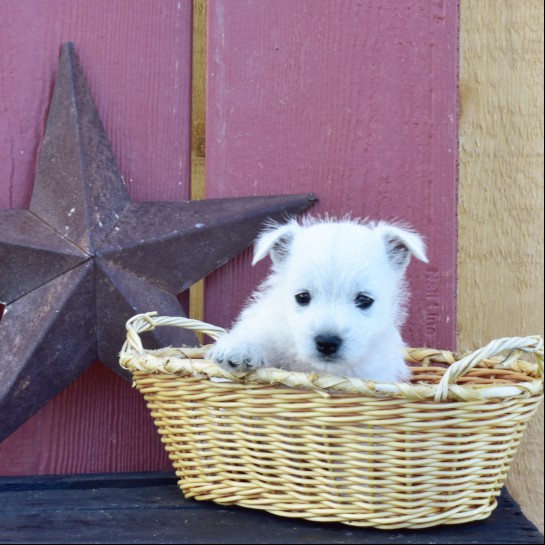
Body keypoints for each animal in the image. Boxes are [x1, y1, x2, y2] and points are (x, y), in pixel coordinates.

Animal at [206, 217, 428, 382]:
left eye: (364, 300)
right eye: (302, 297)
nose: (327, 342)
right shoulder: (273, 324)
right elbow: (259, 333)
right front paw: (238, 350)